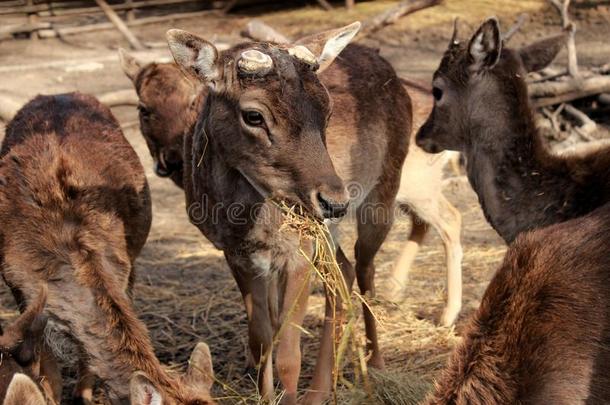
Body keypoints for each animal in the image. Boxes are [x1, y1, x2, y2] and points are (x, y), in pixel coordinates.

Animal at [159, 22, 410, 404]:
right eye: (254, 115)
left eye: (327, 110)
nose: (335, 200)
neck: (243, 222)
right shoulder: (236, 253)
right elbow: (262, 338)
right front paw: (265, 393)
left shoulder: (298, 250)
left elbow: (289, 355)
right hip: (325, 232)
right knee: (344, 271)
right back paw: (322, 389)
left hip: (384, 191)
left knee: (365, 268)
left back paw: (375, 363)